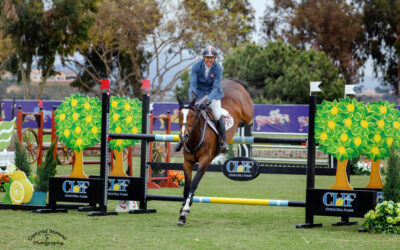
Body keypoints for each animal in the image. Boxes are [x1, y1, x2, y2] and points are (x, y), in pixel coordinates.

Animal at [176, 78, 253, 227]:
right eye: (179, 115)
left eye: (192, 115)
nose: (183, 136)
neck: (195, 137)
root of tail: (233, 82)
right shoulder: (187, 162)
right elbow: (187, 187)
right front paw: (182, 214)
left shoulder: (205, 161)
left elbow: (193, 184)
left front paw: (186, 209)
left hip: (248, 113)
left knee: (249, 119)